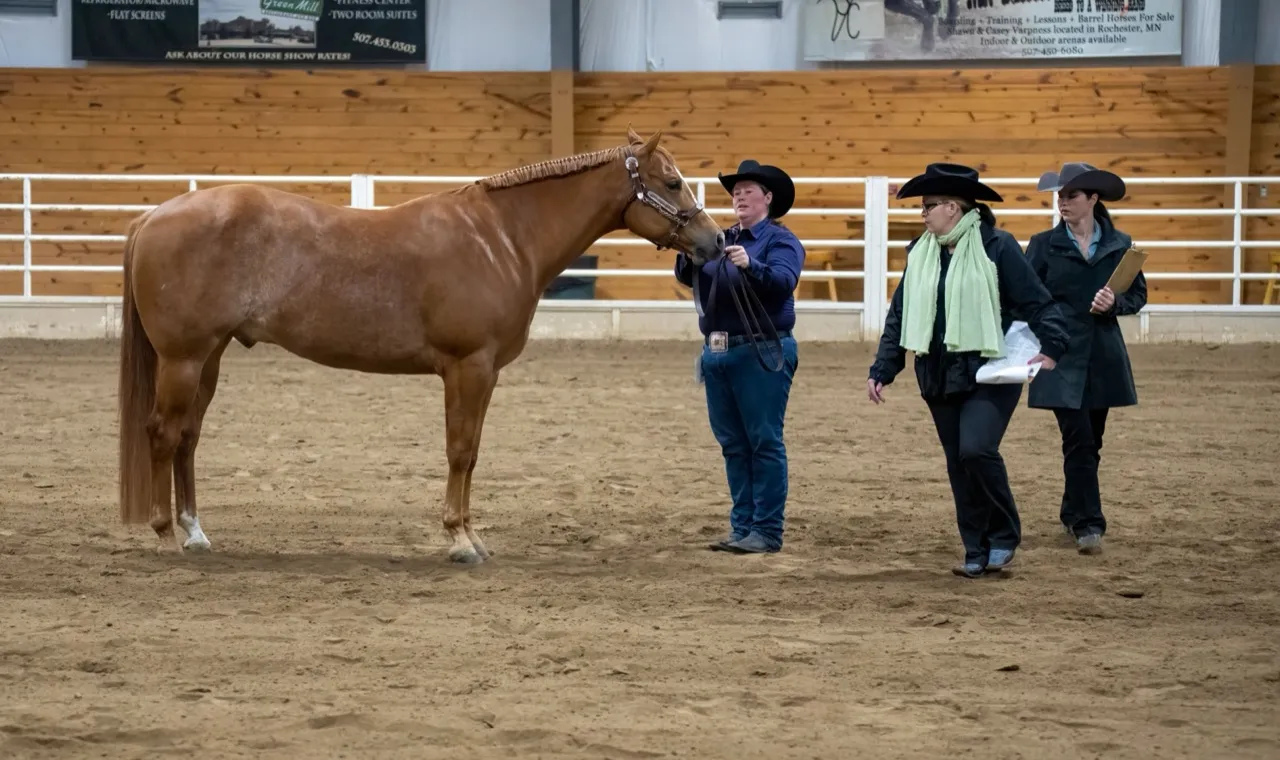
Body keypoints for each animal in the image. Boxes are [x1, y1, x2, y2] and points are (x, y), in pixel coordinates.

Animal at [116, 127, 726, 565]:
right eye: (672, 183)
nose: (716, 241)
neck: (501, 238)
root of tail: (154, 216)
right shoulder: (467, 367)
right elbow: (459, 450)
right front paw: (458, 541)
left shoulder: (486, 373)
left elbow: (472, 452)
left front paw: (472, 537)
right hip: (183, 359)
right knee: (163, 434)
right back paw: (165, 536)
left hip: (209, 357)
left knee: (188, 438)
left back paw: (196, 533)